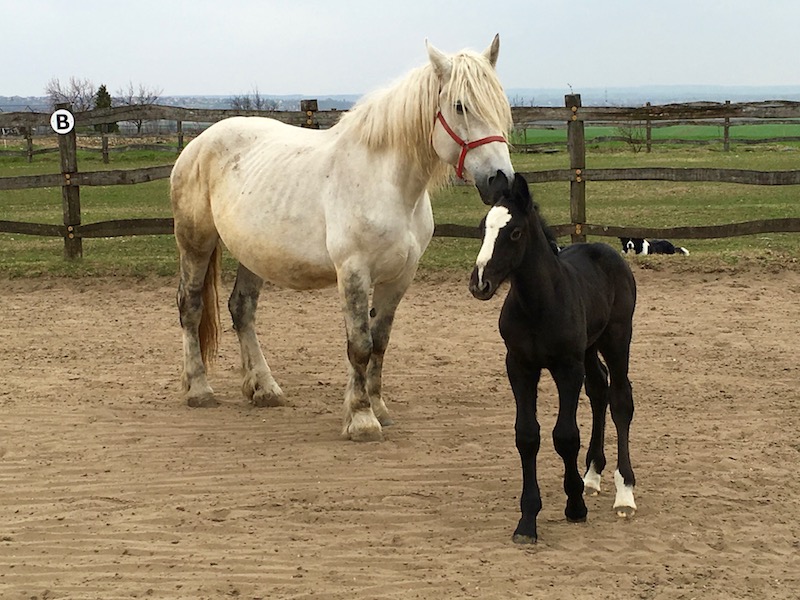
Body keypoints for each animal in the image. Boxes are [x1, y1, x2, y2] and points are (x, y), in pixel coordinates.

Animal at [172, 36, 516, 440]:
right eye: (460, 105)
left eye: (500, 104)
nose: (501, 180)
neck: (386, 182)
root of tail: (198, 143)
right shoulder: (353, 272)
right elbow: (360, 345)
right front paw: (362, 419)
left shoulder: (399, 277)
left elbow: (379, 342)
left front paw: (378, 408)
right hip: (195, 242)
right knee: (190, 306)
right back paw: (199, 389)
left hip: (253, 254)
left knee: (242, 310)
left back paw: (264, 388)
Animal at [468, 173, 636, 544]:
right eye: (483, 228)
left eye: (515, 232)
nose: (480, 284)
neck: (538, 304)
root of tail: (605, 249)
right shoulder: (519, 366)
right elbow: (527, 435)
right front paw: (527, 521)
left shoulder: (566, 367)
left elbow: (565, 436)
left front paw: (574, 506)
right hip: (589, 347)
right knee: (599, 389)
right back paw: (592, 476)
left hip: (616, 337)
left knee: (620, 400)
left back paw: (625, 494)